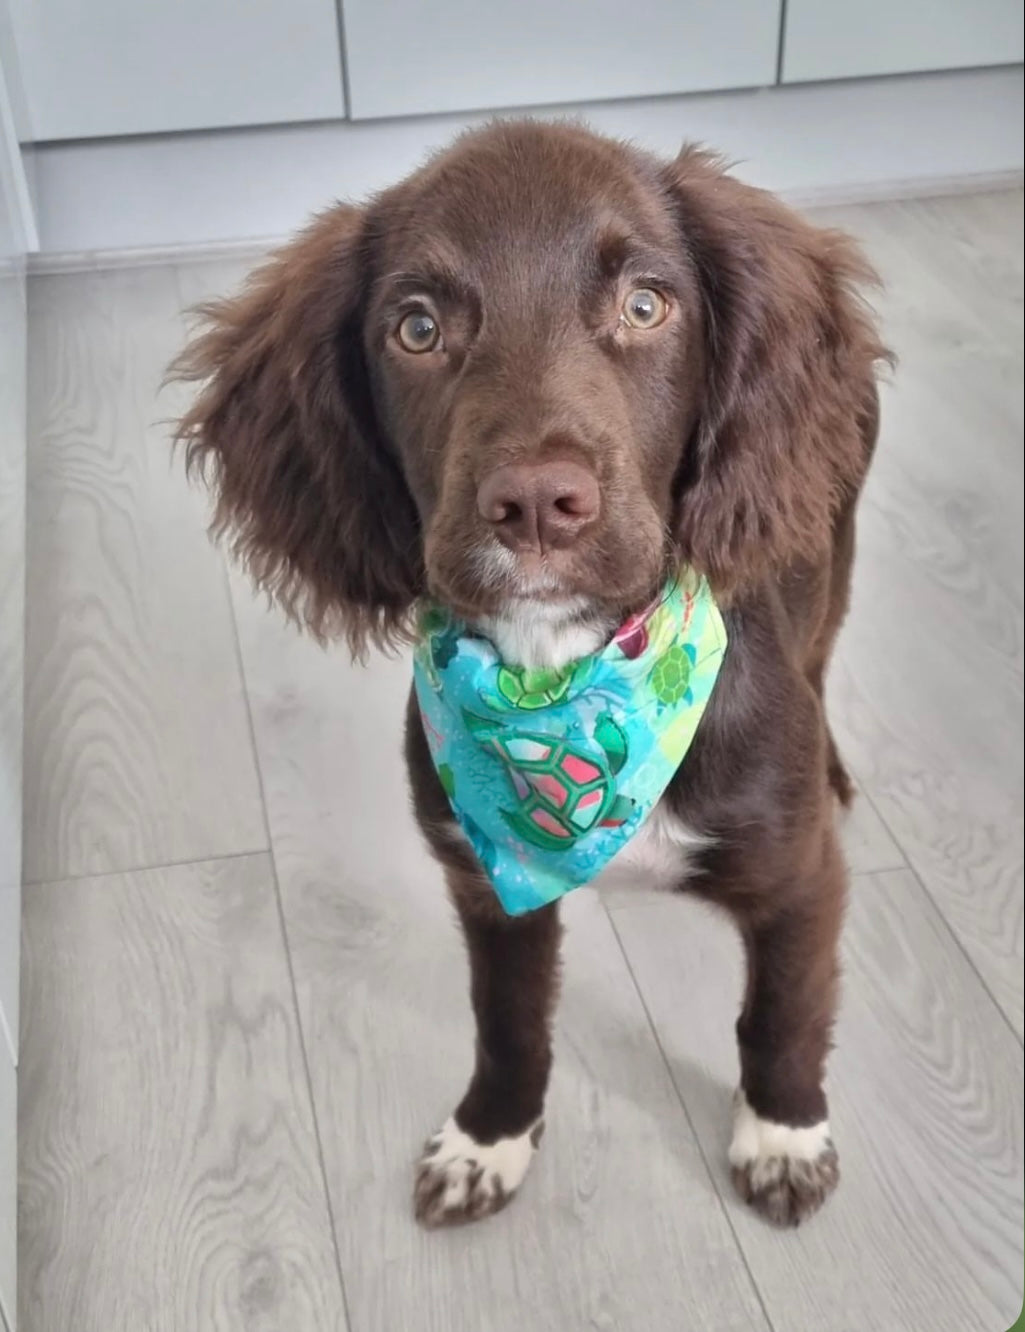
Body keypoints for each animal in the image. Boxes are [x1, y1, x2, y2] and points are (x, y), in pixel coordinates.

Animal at [169, 119, 883, 1230]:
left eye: (646, 304)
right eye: (415, 329)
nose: (539, 505)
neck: (560, 687)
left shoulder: (800, 879)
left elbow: (782, 1011)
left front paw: (781, 1135)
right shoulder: (484, 882)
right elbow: (505, 1022)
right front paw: (487, 1139)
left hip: (826, 544)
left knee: (823, 644)